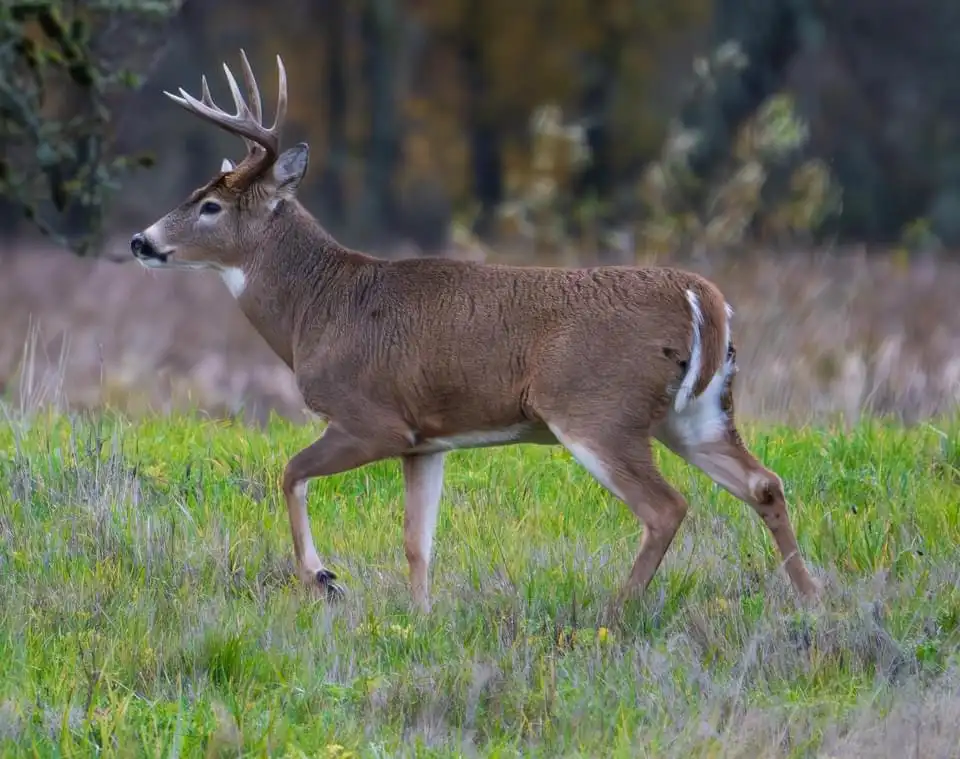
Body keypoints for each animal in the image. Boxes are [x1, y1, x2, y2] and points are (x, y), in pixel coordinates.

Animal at [129, 50, 821, 614]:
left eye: (211, 205)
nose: (141, 240)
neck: (315, 310)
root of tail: (704, 299)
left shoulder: (371, 417)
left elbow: (289, 472)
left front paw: (324, 579)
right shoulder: (424, 440)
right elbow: (417, 540)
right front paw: (419, 617)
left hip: (597, 407)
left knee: (666, 506)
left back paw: (615, 610)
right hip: (696, 411)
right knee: (763, 482)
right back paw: (813, 599)